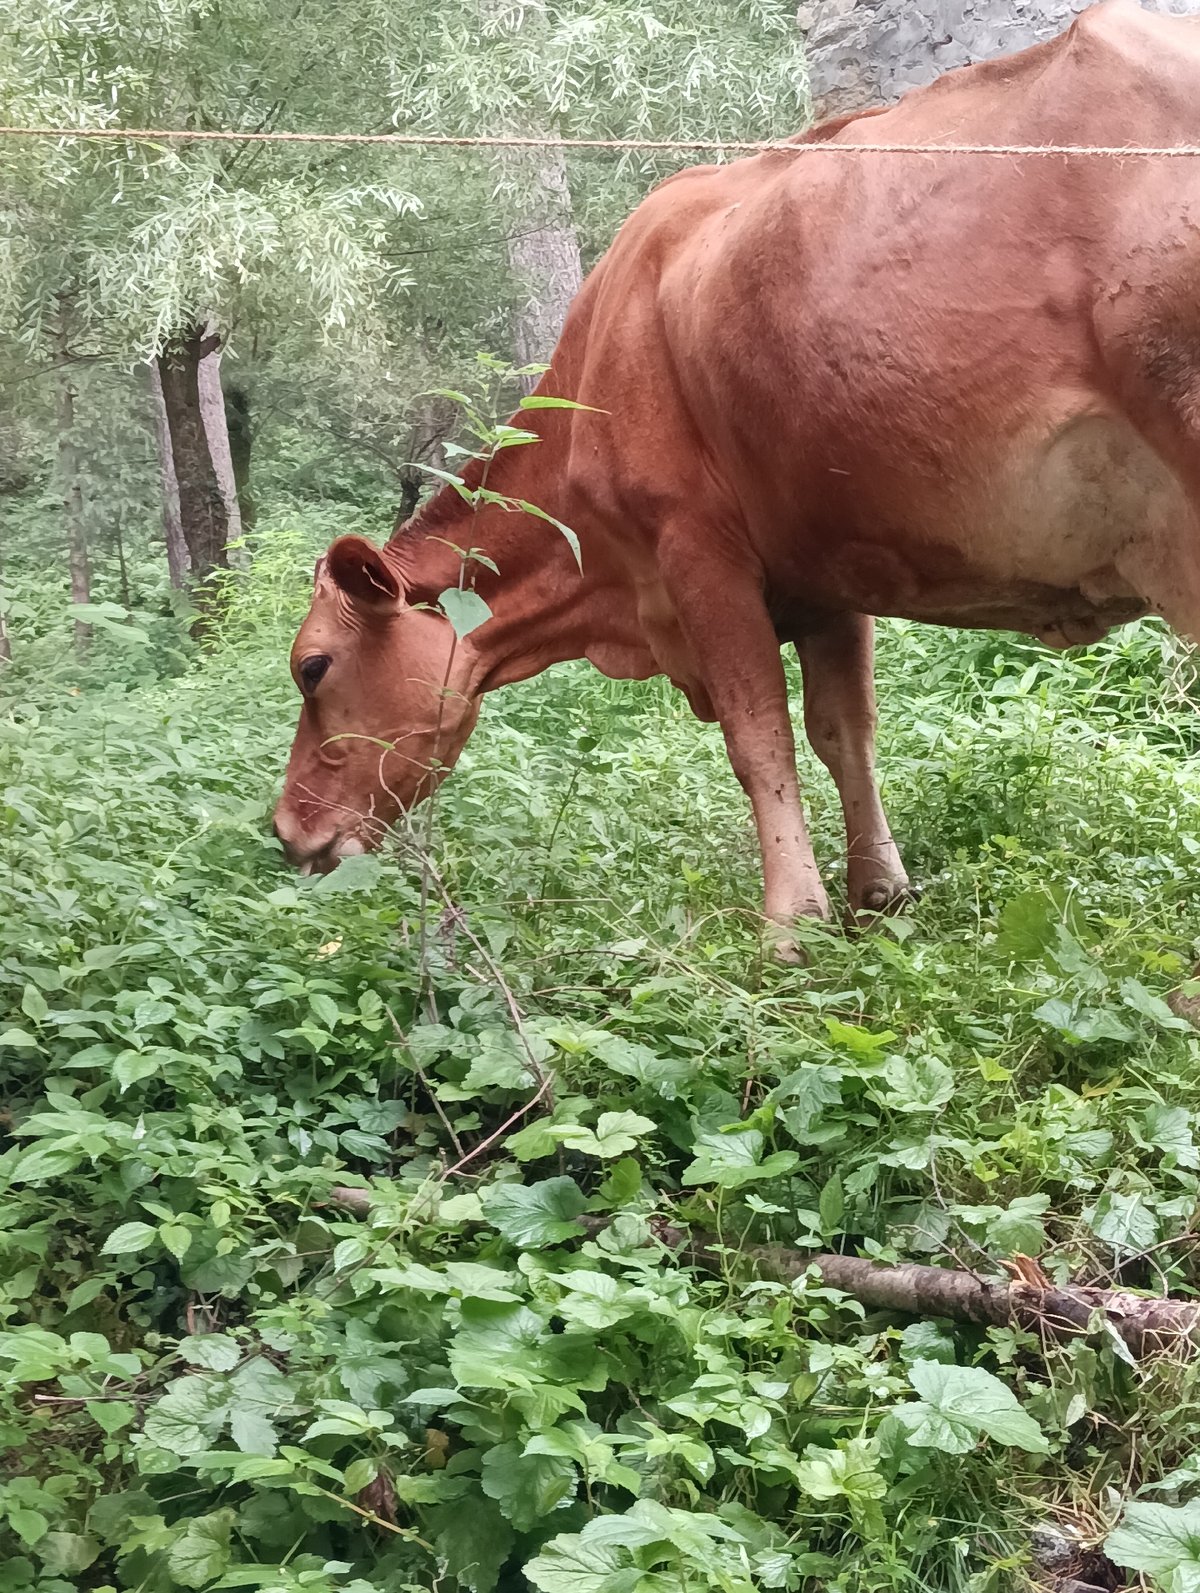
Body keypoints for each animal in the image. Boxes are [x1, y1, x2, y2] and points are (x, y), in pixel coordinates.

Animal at [274, 0, 1200, 952]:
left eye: (313, 666)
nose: (286, 833)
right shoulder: (829, 570)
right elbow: (844, 731)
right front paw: (878, 893)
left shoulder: (695, 549)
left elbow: (760, 739)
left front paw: (790, 922)